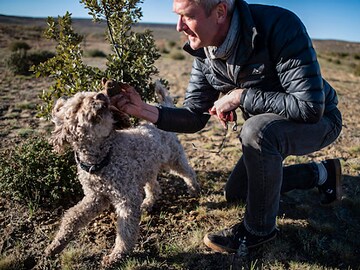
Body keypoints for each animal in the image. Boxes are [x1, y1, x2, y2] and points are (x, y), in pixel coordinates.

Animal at [45, 80, 200, 266]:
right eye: (78, 104)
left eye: (93, 95)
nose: (101, 95)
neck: (102, 158)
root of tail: (163, 106)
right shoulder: (95, 196)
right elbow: (72, 217)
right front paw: (55, 246)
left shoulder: (127, 199)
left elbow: (125, 231)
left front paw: (117, 255)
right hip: (147, 169)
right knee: (154, 187)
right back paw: (148, 203)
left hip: (174, 159)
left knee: (188, 172)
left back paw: (194, 189)